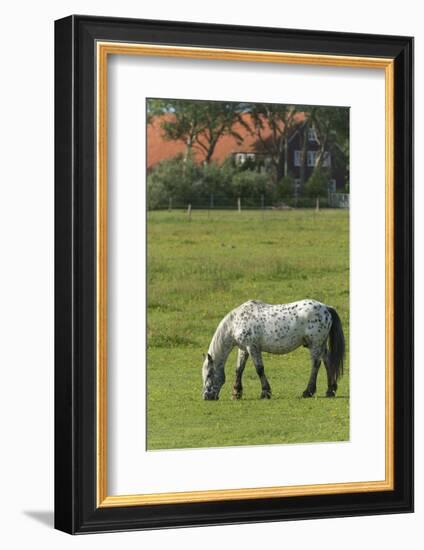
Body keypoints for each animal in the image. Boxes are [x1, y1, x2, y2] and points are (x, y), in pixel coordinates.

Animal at [201, 302, 344, 402]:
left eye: (209, 375)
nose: (206, 396)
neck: (236, 322)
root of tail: (326, 308)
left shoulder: (252, 347)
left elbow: (259, 369)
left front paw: (265, 392)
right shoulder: (243, 349)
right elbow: (239, 369)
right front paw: (236, 393)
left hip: (315, 344)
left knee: (316, 364)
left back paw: (308, 392)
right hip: (321, 344)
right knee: (327, 362)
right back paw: (330, 390)